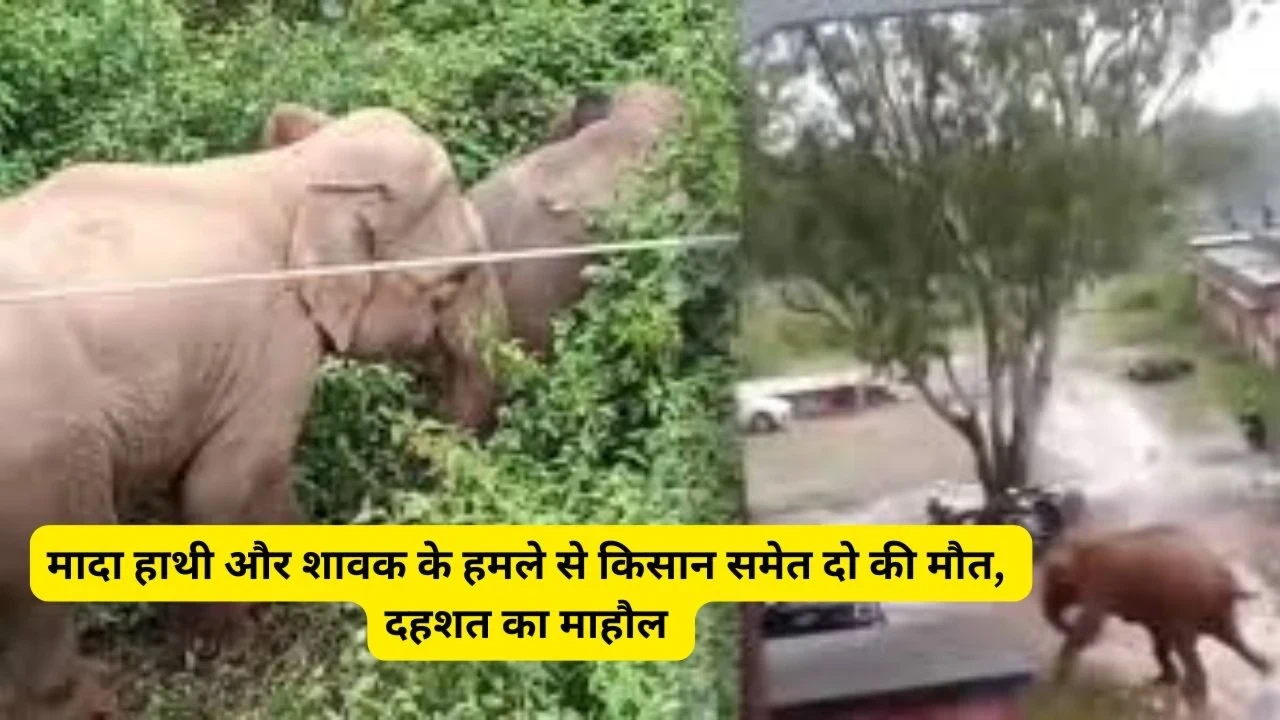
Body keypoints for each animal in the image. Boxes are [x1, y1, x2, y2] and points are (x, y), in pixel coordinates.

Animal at [0, 106, 504, 718]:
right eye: (455, 279)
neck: (296, 174)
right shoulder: (275, 341)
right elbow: (229, 482)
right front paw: (234, 643)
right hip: (38, 458)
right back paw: (99, 697)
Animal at [1041, 524, 1271, 713]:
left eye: (1053, 579)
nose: (1067, 626)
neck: (1083, 546)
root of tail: (1227, 584)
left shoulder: (1101, 582)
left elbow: (1091, 625)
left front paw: (1059, 676)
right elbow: (1158, 636)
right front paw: (1164, 680)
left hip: (1188, 604)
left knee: (1189, 647)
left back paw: (1194, 699)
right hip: (1215, 610)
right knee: (1233, 640)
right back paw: (1267, 670)